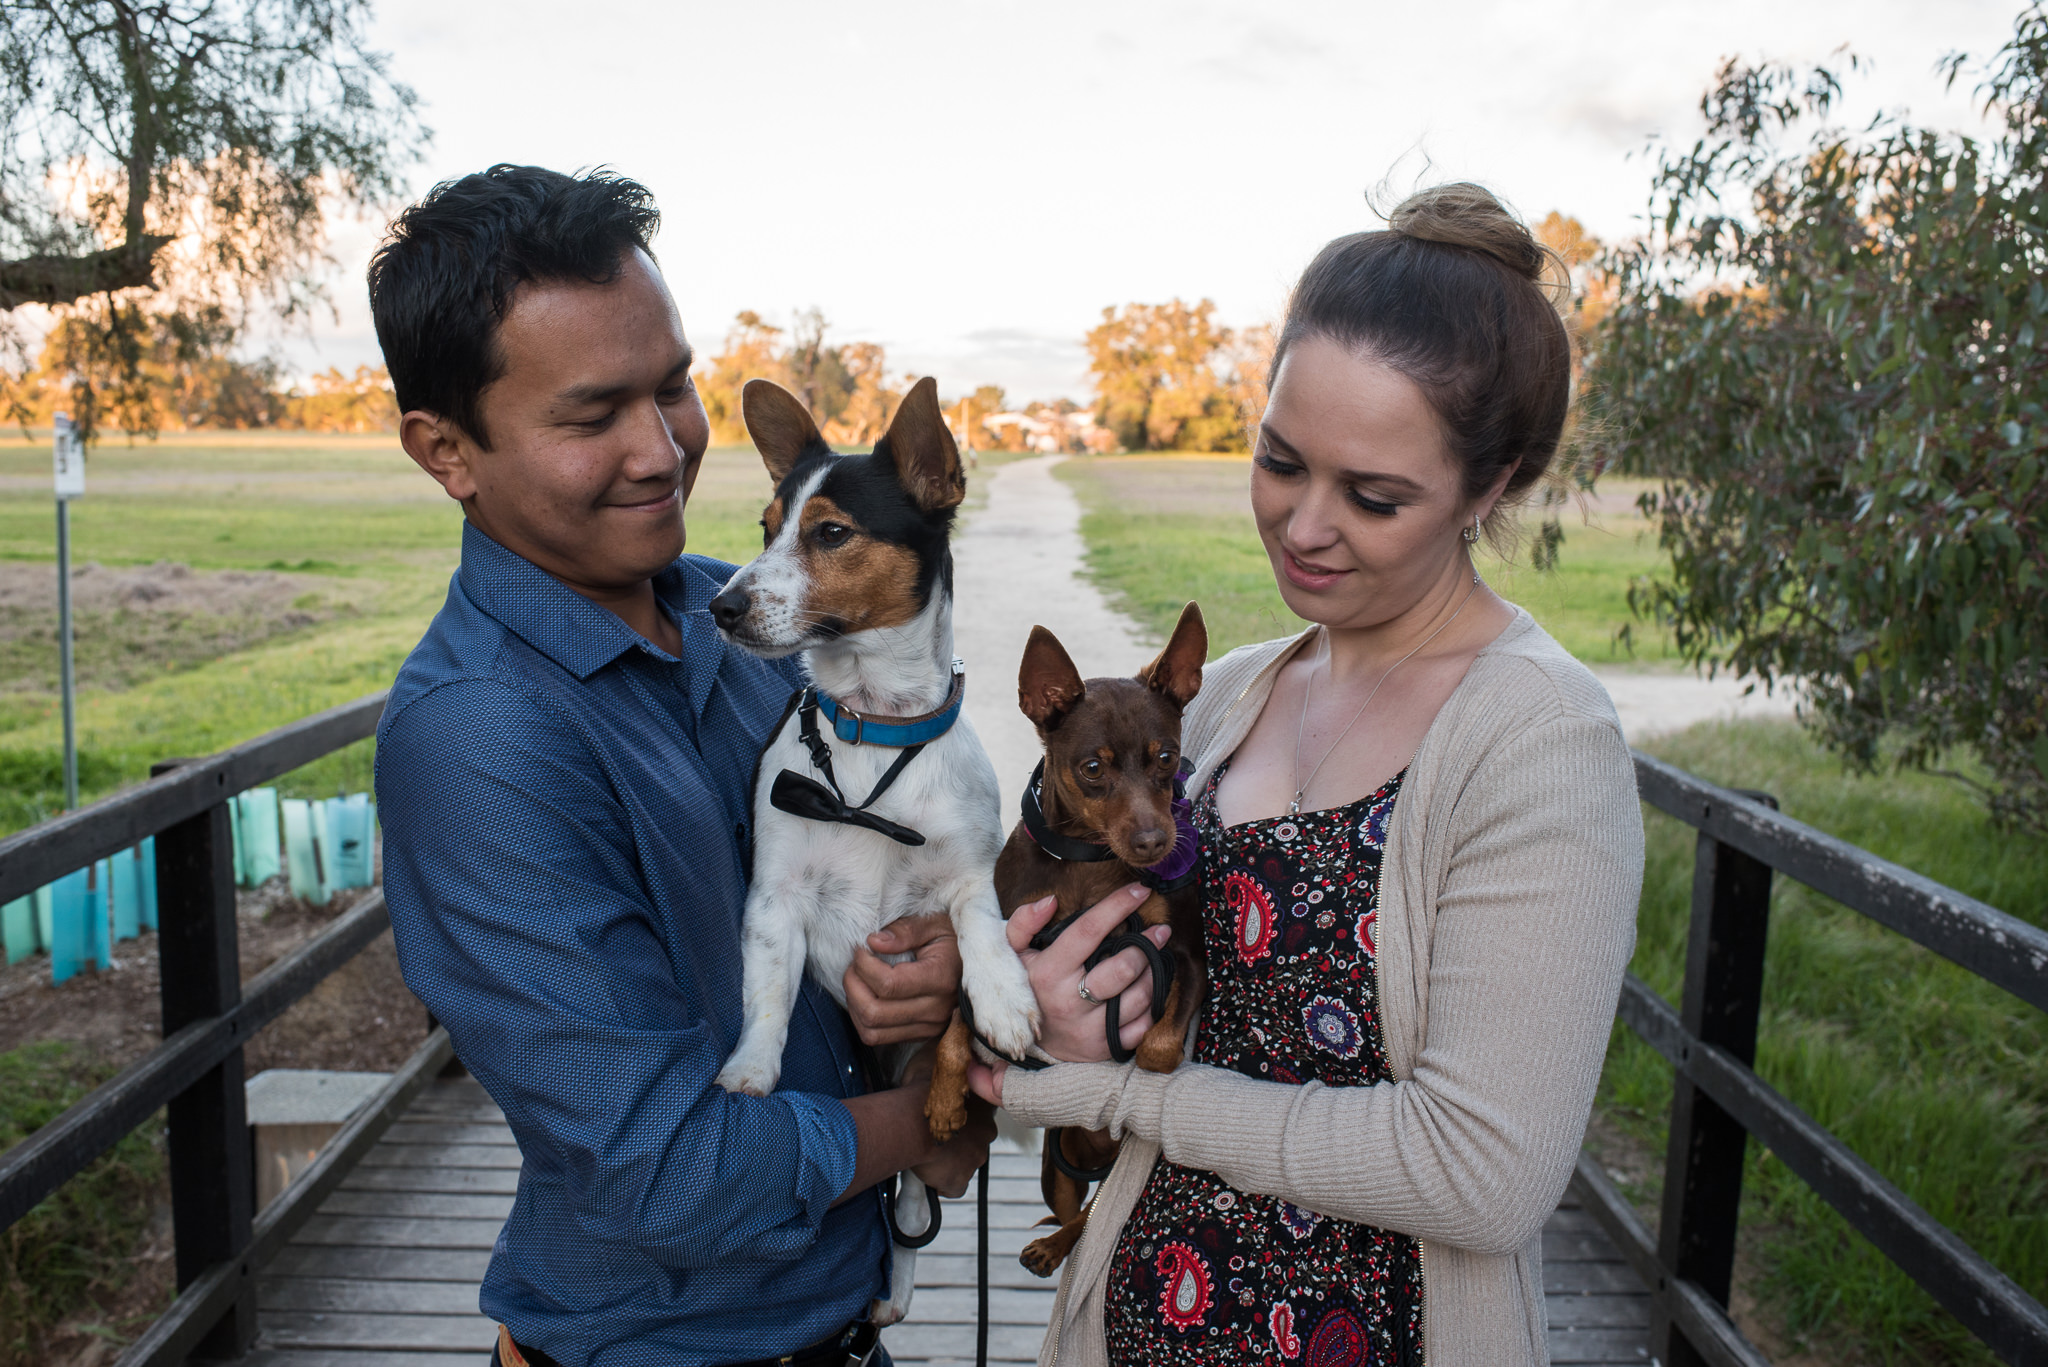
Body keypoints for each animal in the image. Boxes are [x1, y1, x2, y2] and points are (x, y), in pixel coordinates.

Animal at [712, 375, 1040, 1328]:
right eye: (765, 526)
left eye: (830, 532)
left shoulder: (968, 875)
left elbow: (982, 929)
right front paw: (751, 1068)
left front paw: (1003, 998)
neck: (869, 729)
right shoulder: (775, 897)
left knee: (917, 1188)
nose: (721, 606)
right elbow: (765, 998)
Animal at [925, 602, 1196, 1278]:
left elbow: (1158, 1049)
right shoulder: (996, 952)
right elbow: (957, 1025)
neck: (1088, 865)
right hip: (1056, 1168)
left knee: (1094, 1212)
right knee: (1076, 1206)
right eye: (1092, 769)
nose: (1155, 842)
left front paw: (1136, 1072)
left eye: (1167, 758)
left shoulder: (1182, 953)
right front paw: (943, 1102)